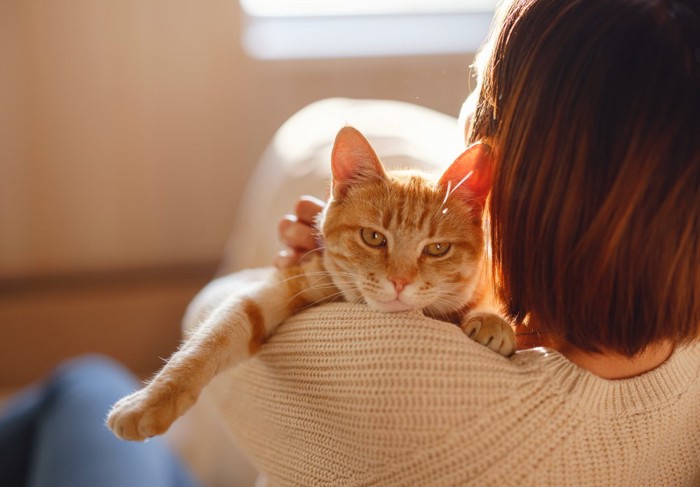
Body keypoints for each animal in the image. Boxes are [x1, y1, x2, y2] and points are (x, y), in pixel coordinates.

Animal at [105, 125, 516, 442]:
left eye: (437, 249)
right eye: (373, 238)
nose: (399, 281)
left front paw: (493, 321)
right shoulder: (281, 286)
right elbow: (206, 343)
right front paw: (151, 401)